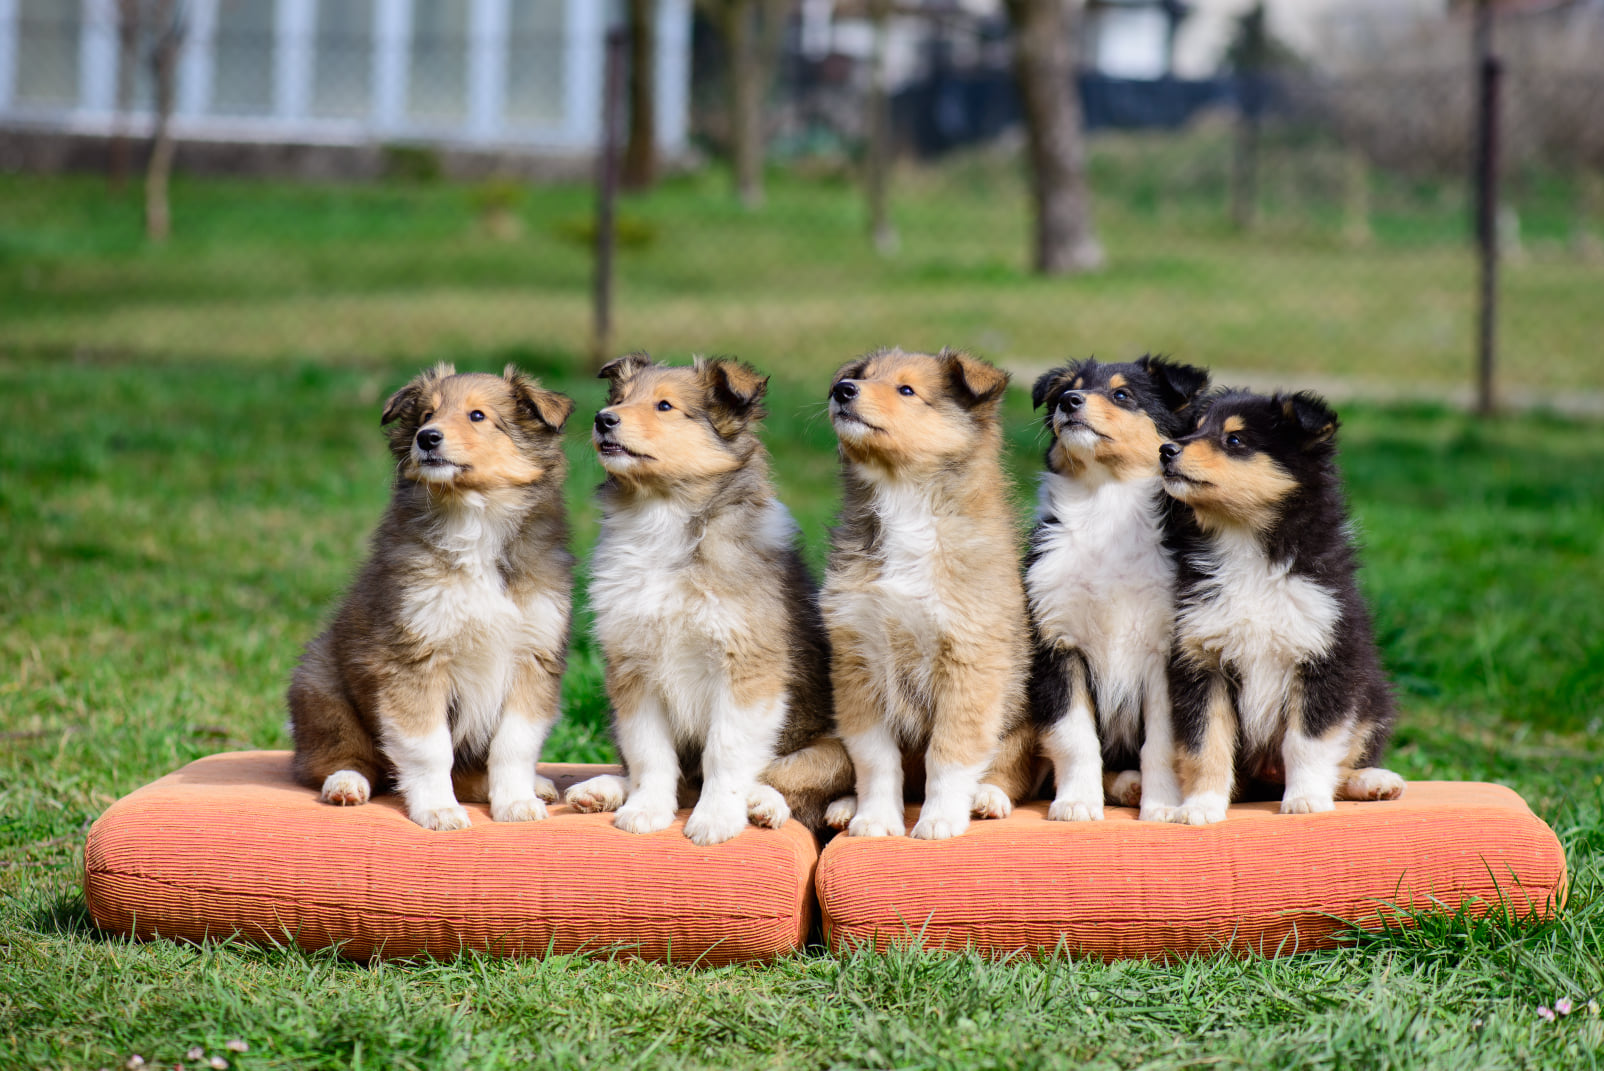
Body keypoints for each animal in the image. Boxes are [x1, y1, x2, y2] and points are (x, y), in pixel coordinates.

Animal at [288, 363, 577, 833]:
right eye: (427, 414)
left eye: (477, 415)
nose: (427, 438)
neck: (474, 519)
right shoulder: (412, 658)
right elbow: (429, 748)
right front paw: (438, 810)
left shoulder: (533, 657)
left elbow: (514, 745)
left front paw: (516, 802)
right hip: (320, 687)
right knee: (341, 759)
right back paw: (346, 785)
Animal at [571, 355, 859, 840]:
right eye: (620, 399)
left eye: (665, 405)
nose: (602, 419)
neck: (664, 517)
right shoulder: (633, 668)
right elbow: (649, 751)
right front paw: (645, 811)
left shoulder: (747, 667)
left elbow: (726, 750)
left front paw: (716, 819)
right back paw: (601, 790)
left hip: (834, 744)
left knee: (793, 780)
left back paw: (770, 806)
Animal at [821, 347, 1032, 840]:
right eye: (862, 376)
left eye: (906, 389)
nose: (841, 390)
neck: (904, 501)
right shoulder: (858, 662)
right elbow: (875, 758)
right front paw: (875, 819)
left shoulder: (969, 663)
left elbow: (951, 752)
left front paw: (939, 820)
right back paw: (844, 805)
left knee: (1010, 765)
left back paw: (986, 797)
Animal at [1032, 355, 1206, 827]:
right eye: (1064, 391)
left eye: (1122, 394)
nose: (1070, 401)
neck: (1104, 502)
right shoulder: (1059, 643)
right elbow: (1075, 735)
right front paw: (1076, 803)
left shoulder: (1164, 653)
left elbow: (1162, 744)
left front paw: (1163, 806)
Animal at [1154, 389, 1405, 827]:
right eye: (1195, 428)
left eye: (1235, 440)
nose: (1166, 450)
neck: (1246, 546)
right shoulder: (1201, 661)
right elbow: (1206, 745)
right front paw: (1200, 805)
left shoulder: (1324, 657)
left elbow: (1308, 742)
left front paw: (1304, 799)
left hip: (1372, 696)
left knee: (1344, 761)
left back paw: (1373, 781)